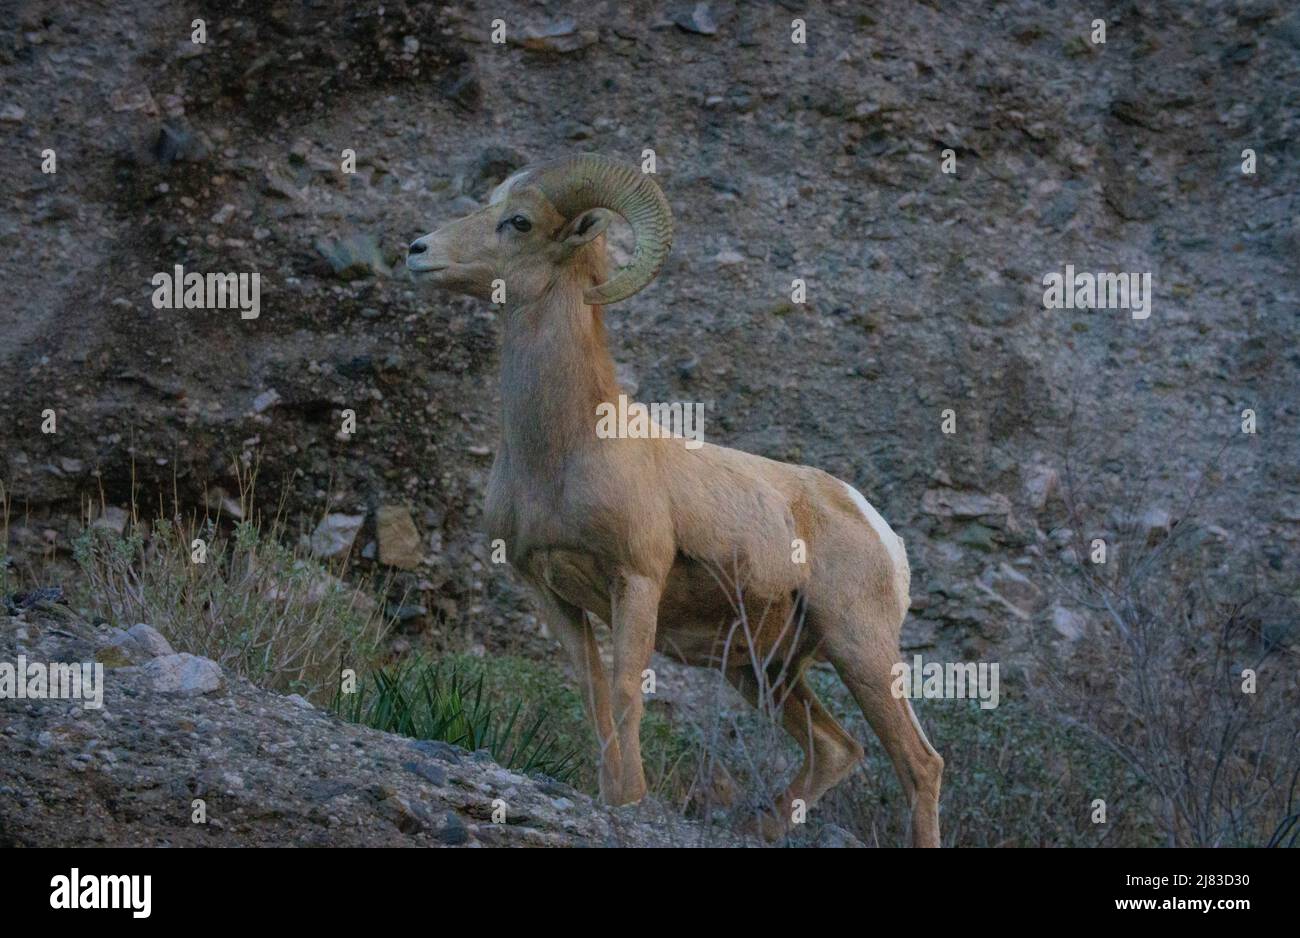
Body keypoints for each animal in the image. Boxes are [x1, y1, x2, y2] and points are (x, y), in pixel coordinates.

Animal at [408, 153, 946, 841]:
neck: (562, 449)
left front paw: (631, 803)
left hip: (862, 652)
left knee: (919, 765)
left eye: (519, 222)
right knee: (836, 750)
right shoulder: (550, 593)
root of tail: (877, 527)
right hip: (762, 670)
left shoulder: (637, 579)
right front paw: (612, 797)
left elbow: (625, 693)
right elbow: (594, 696)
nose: (418, 250)